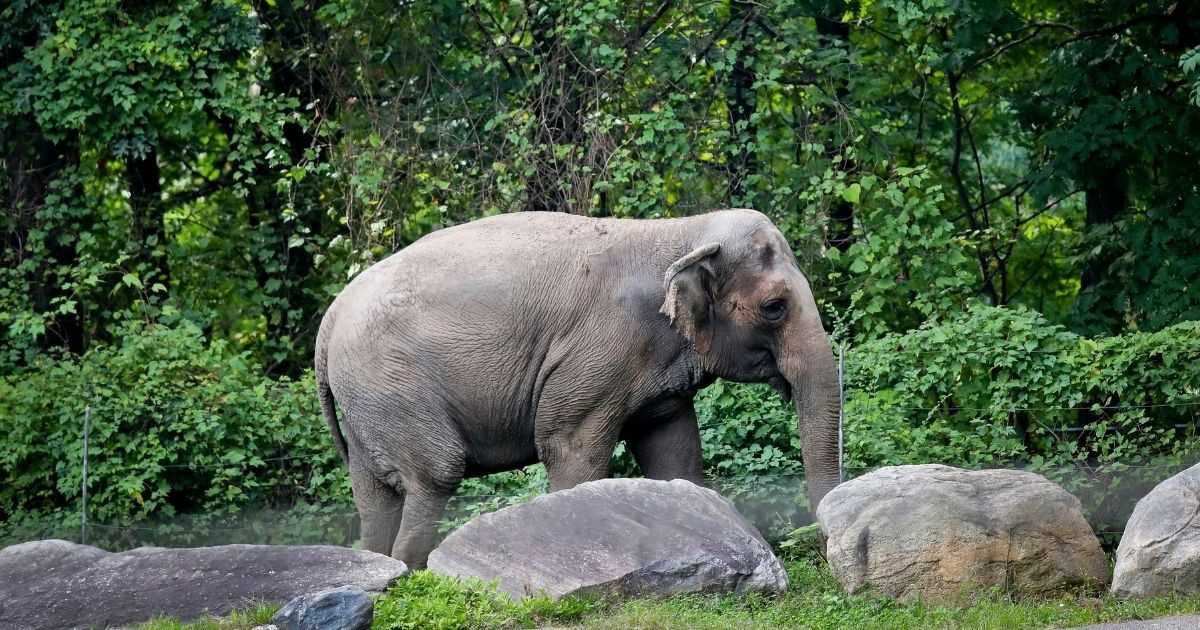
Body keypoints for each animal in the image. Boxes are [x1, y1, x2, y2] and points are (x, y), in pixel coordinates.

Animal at [314, 208, 840, 566]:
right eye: (774, 307)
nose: (820, 546)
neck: (680, 231)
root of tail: (331, 317)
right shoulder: (598, 351)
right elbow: (570, 447)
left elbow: (674, 452)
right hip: (392, 383)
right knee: (435, 474)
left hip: (366, 401)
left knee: (373, 495)